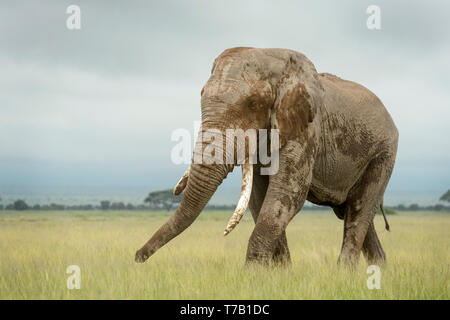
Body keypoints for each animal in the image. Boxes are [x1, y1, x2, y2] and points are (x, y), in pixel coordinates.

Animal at [135, 47, 400, 264]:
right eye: (201, 96)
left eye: (253, 103)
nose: (138, 257)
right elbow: (260, 196)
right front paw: (277, 275)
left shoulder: (306, 127)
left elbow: (288, 192)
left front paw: (251, 275)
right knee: (354, 213)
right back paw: (376, 272)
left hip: (384, 153)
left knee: (360, 208)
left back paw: (345, 274)